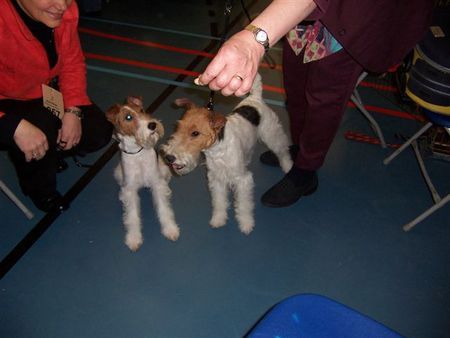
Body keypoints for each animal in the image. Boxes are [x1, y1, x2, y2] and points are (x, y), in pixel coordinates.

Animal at [107, 96, 179, 250]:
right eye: (128, 117)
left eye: (141, 110)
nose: (152, 125)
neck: (138, 153)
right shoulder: (130, 190)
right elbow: (132, 216)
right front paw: (134, 238)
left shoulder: (156, 183)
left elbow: (164, 209)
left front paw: (170, 229)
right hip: (118, 173)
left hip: (163, 169)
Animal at [161, 73, 292, 235]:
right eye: (178, 127)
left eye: (195, 133)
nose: (169, 157)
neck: (217, 150)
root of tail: (255, 98)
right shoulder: (216, 179)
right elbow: (219, 202)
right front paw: (218, 219)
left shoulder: (243, 180)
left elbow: (243, 205)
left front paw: (246, 224)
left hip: (272, 134)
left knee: (282, 150)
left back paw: (288, 166)